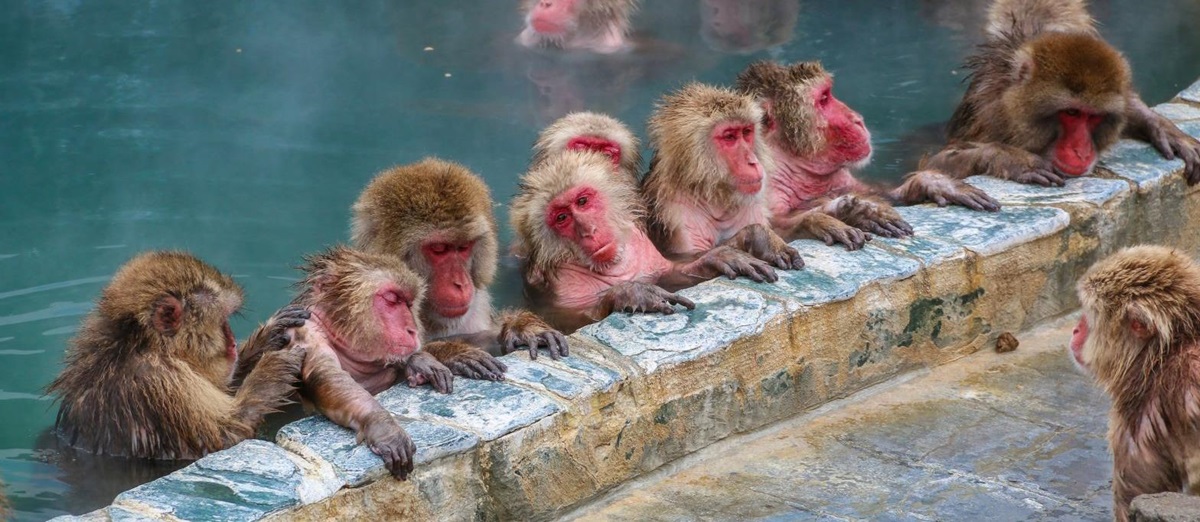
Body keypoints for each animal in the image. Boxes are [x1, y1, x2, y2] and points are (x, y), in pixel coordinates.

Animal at [46, 251, 307, 461]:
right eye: (222, 322)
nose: (232, 344)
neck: (139, 345)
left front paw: (268, 337)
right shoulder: (161, 382)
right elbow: (223, 439)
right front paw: (274, 366)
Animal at [511, 151, 778, 331]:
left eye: (583, 201)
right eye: (562, 218)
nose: (588, 230)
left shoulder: (641, 244)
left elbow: (671, 273)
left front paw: (721, 255)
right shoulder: (559, 284)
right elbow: (567, 323)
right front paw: (630, 293)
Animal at [641, 82, 808, 267]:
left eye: (746, 132)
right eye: (729, 137)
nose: (752, 161)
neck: (715, 196)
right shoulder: (678, 214)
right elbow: (688, 258)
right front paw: (760, 237)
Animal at [735, 60, 1000, 250]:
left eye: (828, 94)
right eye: (823, 99)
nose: (857, 119)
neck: (797, 167)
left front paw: (933, 183)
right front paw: (849, 212)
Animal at [925, 0, 1200, 187]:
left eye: (1093, 116)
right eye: (1072, 112)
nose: (1081, 152)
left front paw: (1162, 126)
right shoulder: (987, 118)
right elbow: (935, 164)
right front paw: (1011, 159)